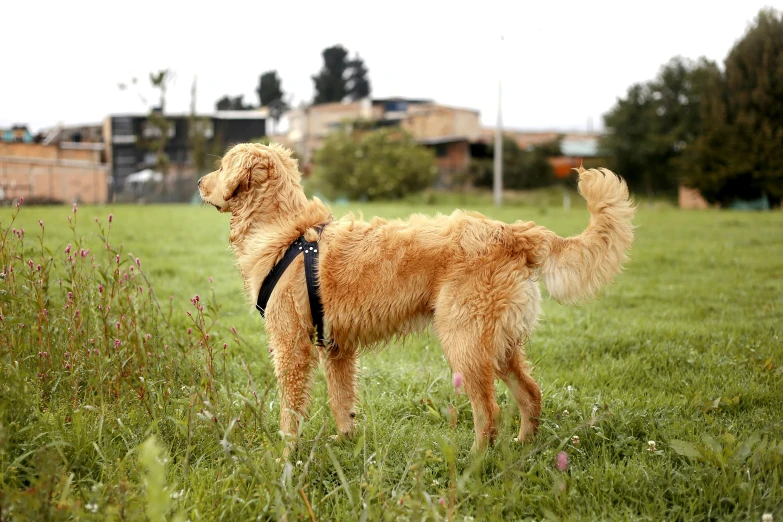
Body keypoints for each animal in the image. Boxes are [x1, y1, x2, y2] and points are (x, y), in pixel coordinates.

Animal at [198, 141, 636, 450]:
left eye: (220, 165)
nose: (200, 184)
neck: (286, 231)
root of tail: (510, 232)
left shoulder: (290, 345)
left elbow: (290, 408)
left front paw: (286, 455)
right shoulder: (336, 348)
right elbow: (342, 401)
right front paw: (344, 444)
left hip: (464, 341)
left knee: (489, 412)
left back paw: (474, 462)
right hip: (500, 343)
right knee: (530, 394)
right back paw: (524, 446)